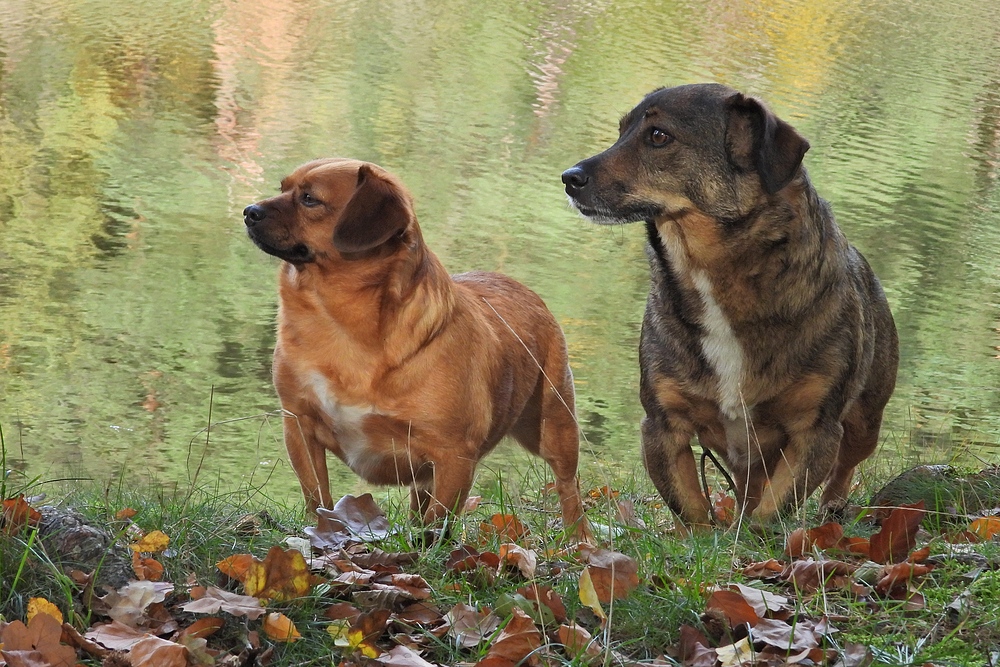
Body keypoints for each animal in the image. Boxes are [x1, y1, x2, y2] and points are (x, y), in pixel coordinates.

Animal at [243, 159, 588, 540]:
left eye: (309, 199)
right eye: (283, 188)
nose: (249, 211)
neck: (340, 323)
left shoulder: (454, 456)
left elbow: (438, 526)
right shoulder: (300, 427)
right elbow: (317, 496)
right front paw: (323, 532)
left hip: (555, 427)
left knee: (568, 487)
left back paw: (579, 540)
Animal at [564, 83, 900, 528]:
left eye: (658, 136)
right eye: (621, 131)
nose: (569, 178)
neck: (709, 275)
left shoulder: (816, 431)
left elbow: (771, 512)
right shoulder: (662, 426)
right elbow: (691, 508)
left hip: (865, 420)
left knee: (845, 465)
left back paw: (832, 507)